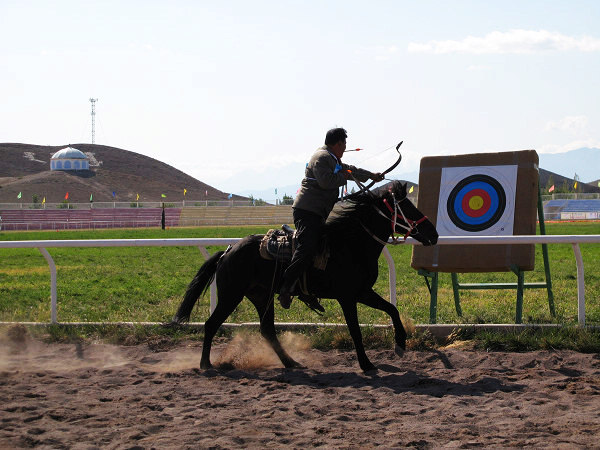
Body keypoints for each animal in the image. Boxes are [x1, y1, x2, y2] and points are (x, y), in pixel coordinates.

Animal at [169, 180, 436, 372]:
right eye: (407, 207)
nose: (433, 234)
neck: (350, 244)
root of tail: (228, 251)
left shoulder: (362, 292)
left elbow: (392, 309)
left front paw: (400, 344)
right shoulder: (348, 297)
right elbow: (356, 330)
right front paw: (367, 364)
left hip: (261, 297)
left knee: (267, 330)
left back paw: (291, 363)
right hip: (231, 295)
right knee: (211, 324)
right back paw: (206, 364)